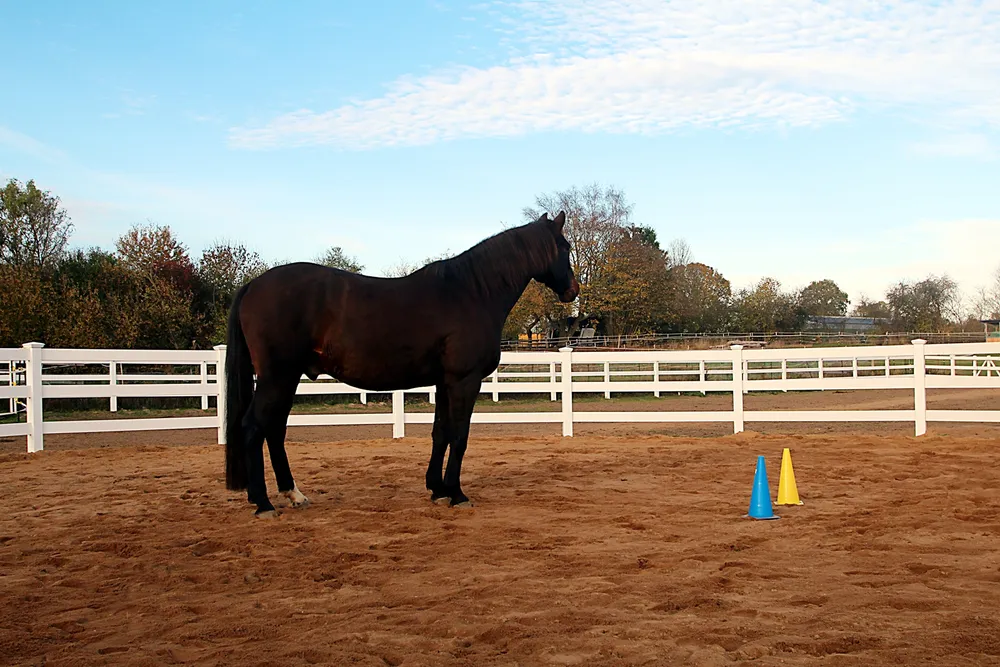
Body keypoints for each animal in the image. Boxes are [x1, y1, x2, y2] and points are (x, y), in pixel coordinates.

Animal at [223, 211, 579, 518]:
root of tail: (253, 285)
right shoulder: (464, 380)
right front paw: (457, 494)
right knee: (253, 426)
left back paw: (292, 494)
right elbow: (459, 436)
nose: (573, 290)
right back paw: (263, 503)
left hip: (287, 378)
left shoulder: (444, 381)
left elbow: (440, 433)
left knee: (274, 429)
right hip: (277, 377)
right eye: (565, 247)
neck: (472, 293)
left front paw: (438, 490)